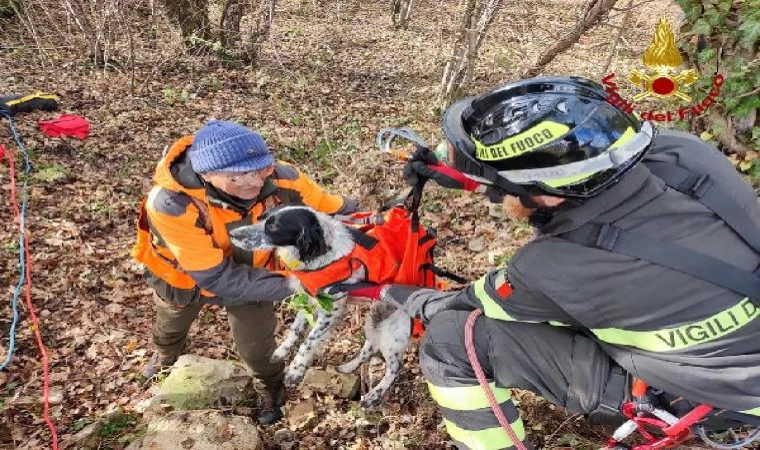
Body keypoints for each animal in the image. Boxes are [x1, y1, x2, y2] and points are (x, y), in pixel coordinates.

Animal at [229, 207, 412, 408]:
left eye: (273, 226)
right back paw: (347, 367)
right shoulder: (309, 299)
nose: (232, 234)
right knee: (369, 349)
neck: (323, 255)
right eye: (261, 217)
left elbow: (309, 341)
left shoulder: (332, 308)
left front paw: (296, 369)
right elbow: (295, 329)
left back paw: (374, 395)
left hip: (394, 332)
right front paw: (282, 350)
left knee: (395, 367)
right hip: (375, 320)